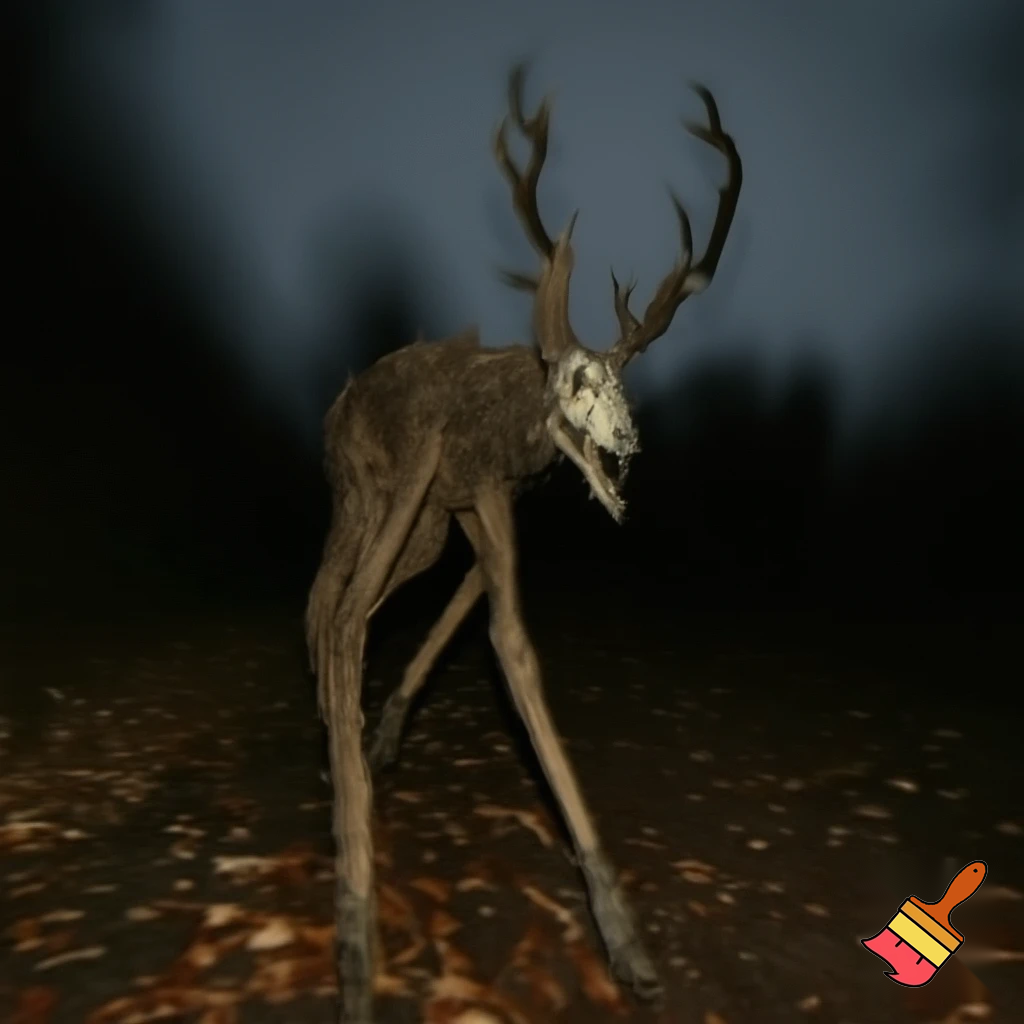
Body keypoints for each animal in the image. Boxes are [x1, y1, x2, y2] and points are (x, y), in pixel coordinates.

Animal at [305, 64, 742, 1023]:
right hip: (368, 498)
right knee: (332, 604)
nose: (629, 446)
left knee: (347, 601)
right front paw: (355, 948)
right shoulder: (445, 486)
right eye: (579, 380)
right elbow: (445, 632)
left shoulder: (484, 506)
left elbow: (496, 627)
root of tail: (339, 401)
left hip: (422, 531)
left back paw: (348, 736)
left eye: (625, 382)